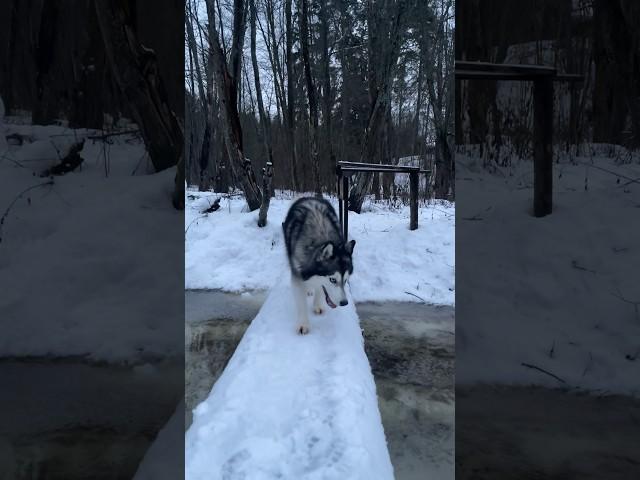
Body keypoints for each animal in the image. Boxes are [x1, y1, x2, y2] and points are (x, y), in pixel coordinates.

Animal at [284, 196, 356, 334]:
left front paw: (317, 304)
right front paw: (303, 323)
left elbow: (321, 288)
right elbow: (301, 302)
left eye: (346, 280)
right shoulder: (297, 274)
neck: (320, 240)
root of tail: (308, 197)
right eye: (333, 280)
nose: (344, 303)